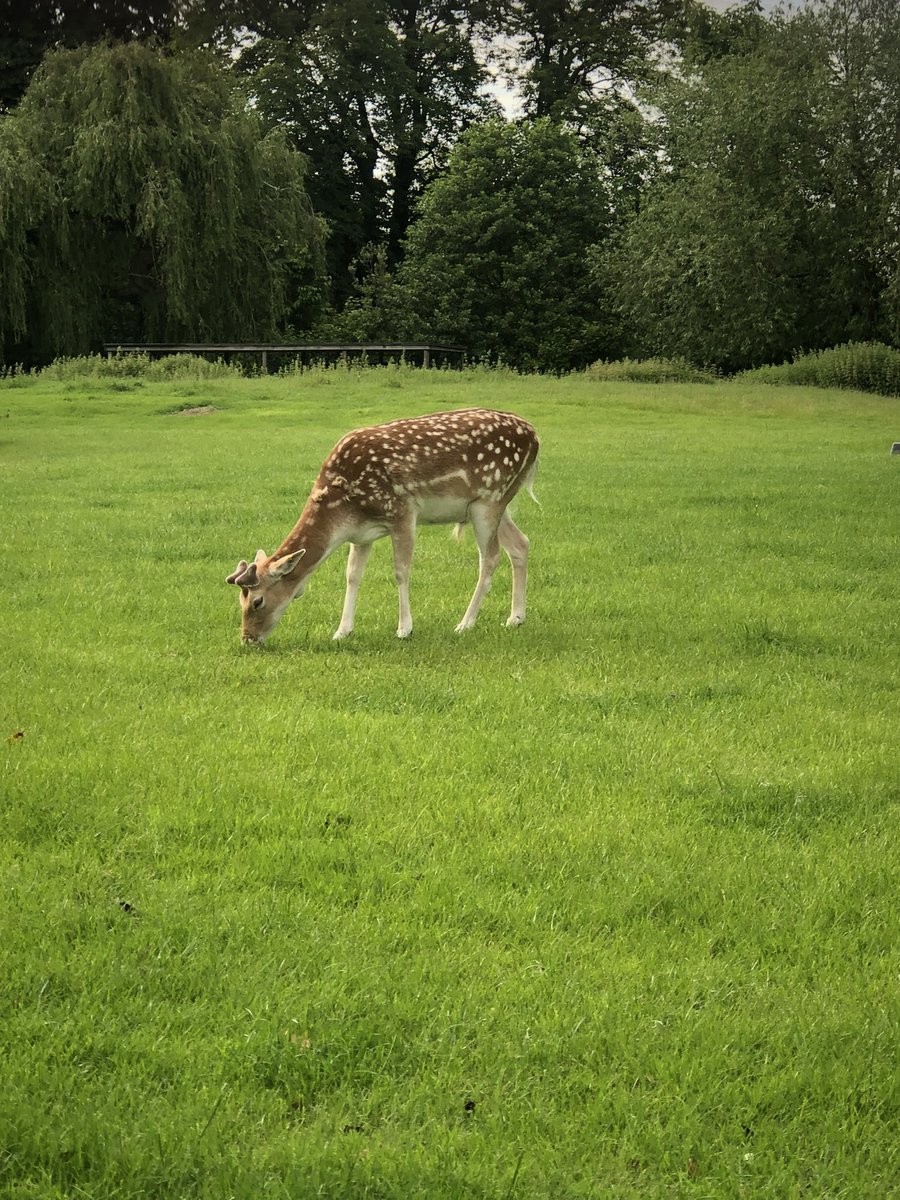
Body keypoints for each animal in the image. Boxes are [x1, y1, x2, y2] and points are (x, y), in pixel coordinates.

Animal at [226, 408, 535, 643]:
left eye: (257, 601)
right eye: (239, 602)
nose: (247, 639)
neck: (344, 511)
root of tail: (535, 435)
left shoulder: (402, 511)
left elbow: (401, 570)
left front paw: (404, 628)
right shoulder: (361, 535)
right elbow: (352, 575)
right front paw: (342, 631)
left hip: (489, 499)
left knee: (490, 557)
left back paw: (465, 623)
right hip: (489, 505)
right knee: (521, 543)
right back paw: (516, 617)